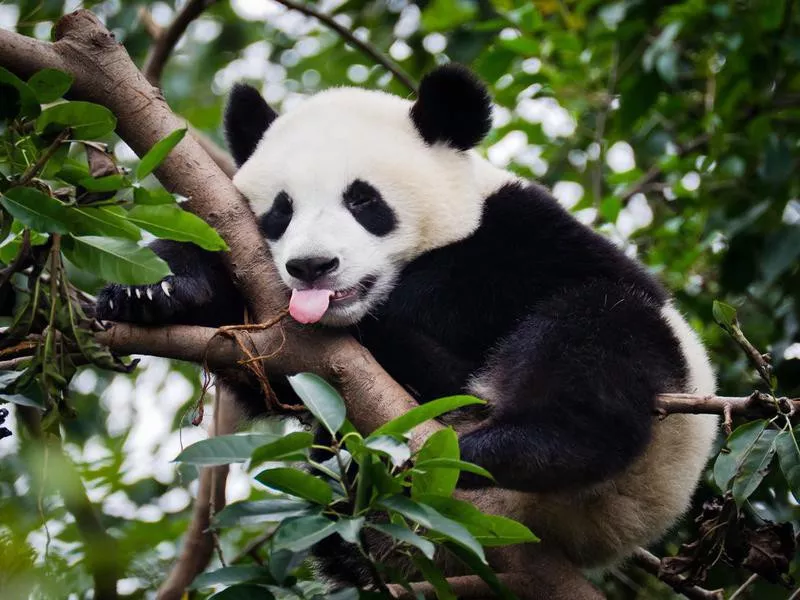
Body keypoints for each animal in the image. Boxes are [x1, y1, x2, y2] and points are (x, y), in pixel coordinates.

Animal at [98, 64, 720, 592]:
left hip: (649, 455)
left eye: (363, 201)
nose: (313, 266)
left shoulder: (525, 230)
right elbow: (258, 361)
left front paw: (404, 308)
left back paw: (513, 445)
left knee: (599, 333)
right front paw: (150, 292)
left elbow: (503, 276)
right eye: (281, 210)